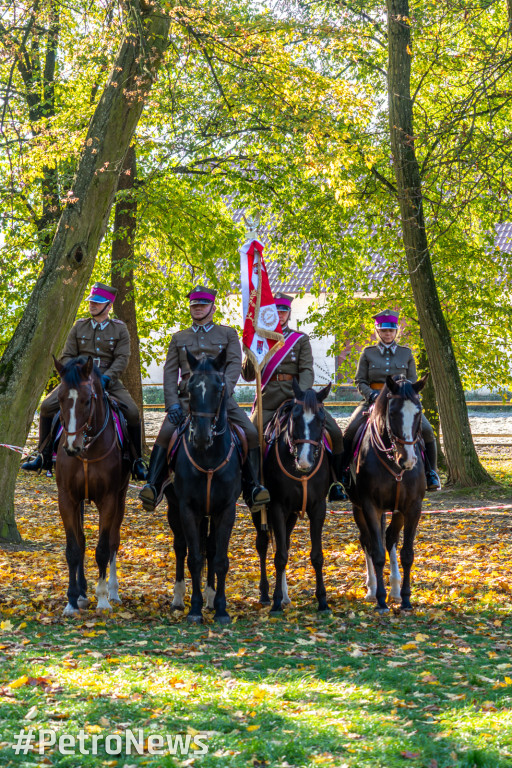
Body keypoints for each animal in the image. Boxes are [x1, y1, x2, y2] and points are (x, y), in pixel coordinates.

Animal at [52, 356, 130, 616]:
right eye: (60, 398)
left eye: (87, 400)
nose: (71, 447)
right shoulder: (67, 499)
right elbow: (74, 549)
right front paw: (72, 601)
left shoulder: (108, 499)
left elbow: (104, 549)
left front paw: (103, 598)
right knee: (82, 540)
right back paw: (82, 593)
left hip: (121, 498)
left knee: (114, 541)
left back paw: (113, 592)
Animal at [166, 348, 242, 624]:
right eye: (190, 388)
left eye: (219, 388)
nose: (200, 436)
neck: (208, 457)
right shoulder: (187, 508)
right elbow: (194, 558)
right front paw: (195, 609)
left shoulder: (226, 509)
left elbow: (218, 558)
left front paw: (220, 608)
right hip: (175, 508)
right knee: (181, 547)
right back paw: (179, 598)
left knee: (209, 547)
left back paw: (210, 598)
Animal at [252, 376, 332, 616]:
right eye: (294, 418)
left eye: (321, 420)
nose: (305, 461)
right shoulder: (277, 508)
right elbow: (279, 556)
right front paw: (276, 602)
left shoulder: (317, 508)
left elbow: (316, 556)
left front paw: (322, 601)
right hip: (260, 511)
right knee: (263, 544)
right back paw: (266, 594)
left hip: (293, 515)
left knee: (284, 542)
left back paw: (286, 595)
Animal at [348, 372, 428, 612]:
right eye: (392, 413)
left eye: (418, 412)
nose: (408, 460)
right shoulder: (370, 506)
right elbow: (376, 553)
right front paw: (381, 599)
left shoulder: (411, 507)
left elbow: (406, 553)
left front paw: (406, 598)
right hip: (358, 508)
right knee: (367, 541)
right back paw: (372, 589)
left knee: (390, 538)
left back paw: (394, 590)